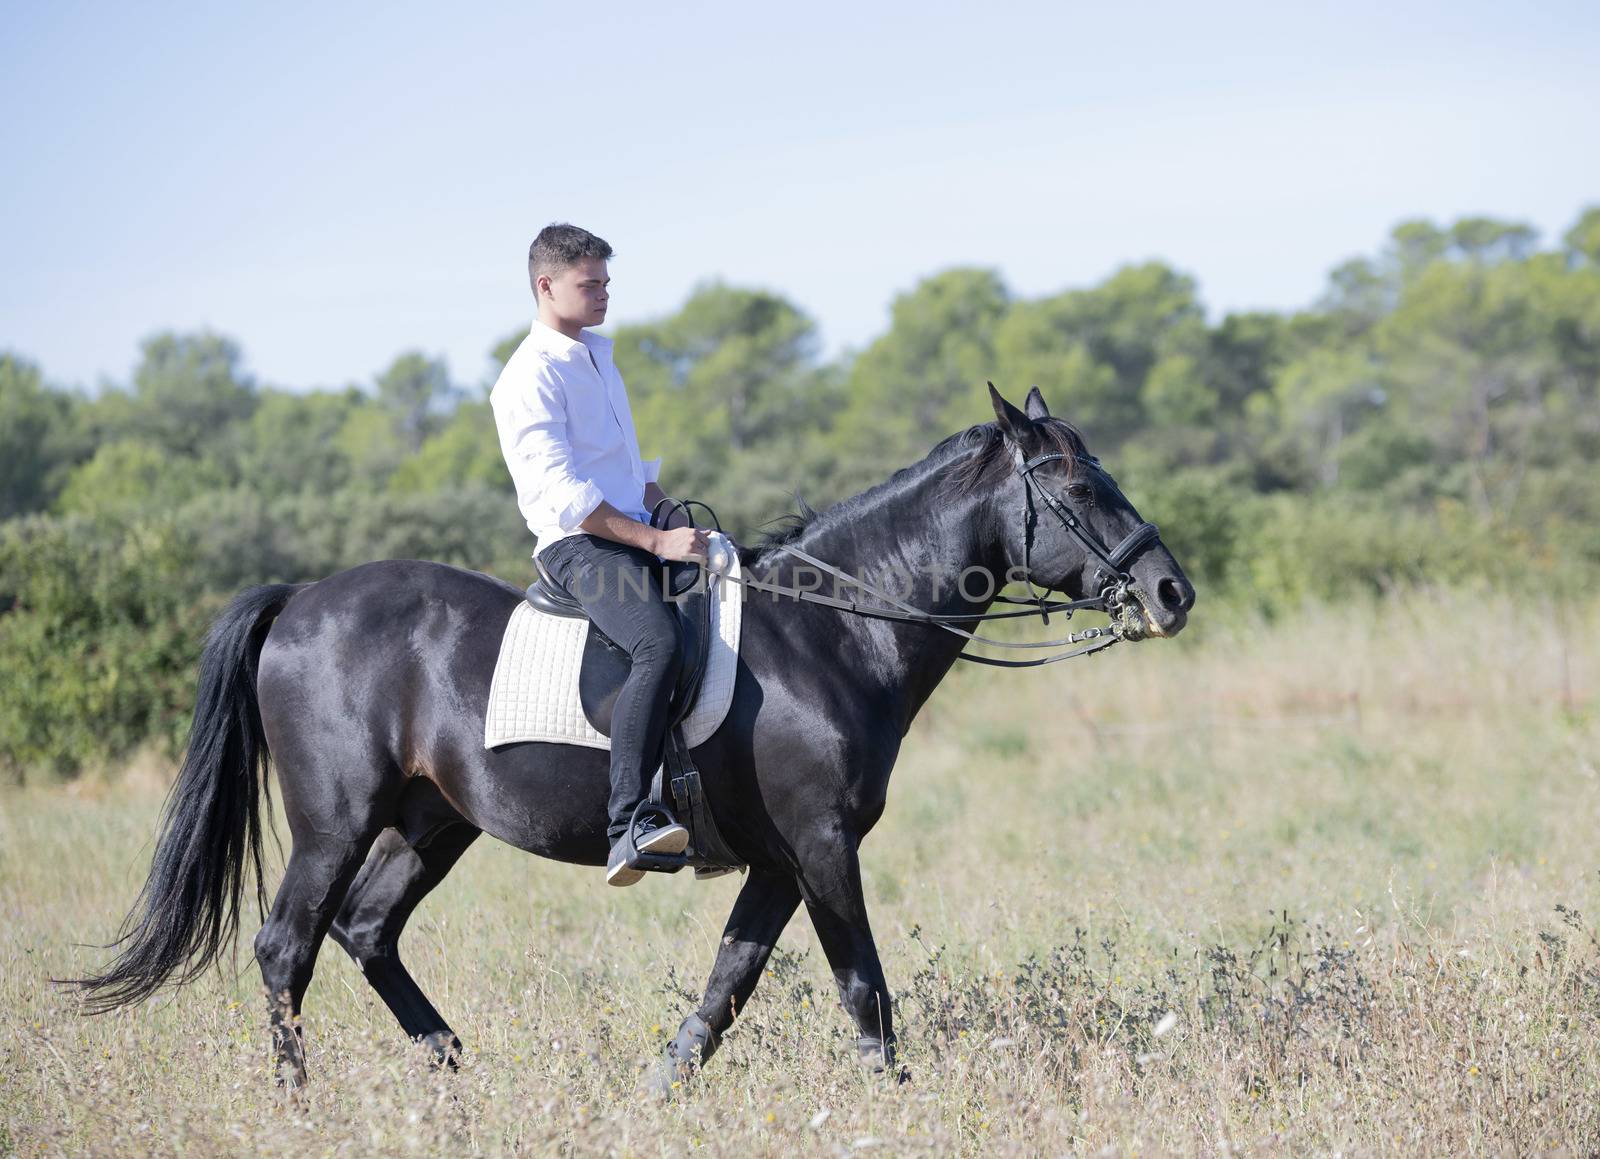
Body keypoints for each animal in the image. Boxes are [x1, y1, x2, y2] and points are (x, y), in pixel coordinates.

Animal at [81, 387, 1196, 1088]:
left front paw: (660, 1089)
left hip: (431, 822)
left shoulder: (782, 859)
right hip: (334, 820)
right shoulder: (823, 844)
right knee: (289, 945)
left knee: (365, 931)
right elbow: (863, 988)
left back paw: (454, 1071)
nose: (1169, 592)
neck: (832, 632)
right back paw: (301, 1100)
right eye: (1080, 490)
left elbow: (728, 984)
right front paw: (903, 1100)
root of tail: (303, 598)